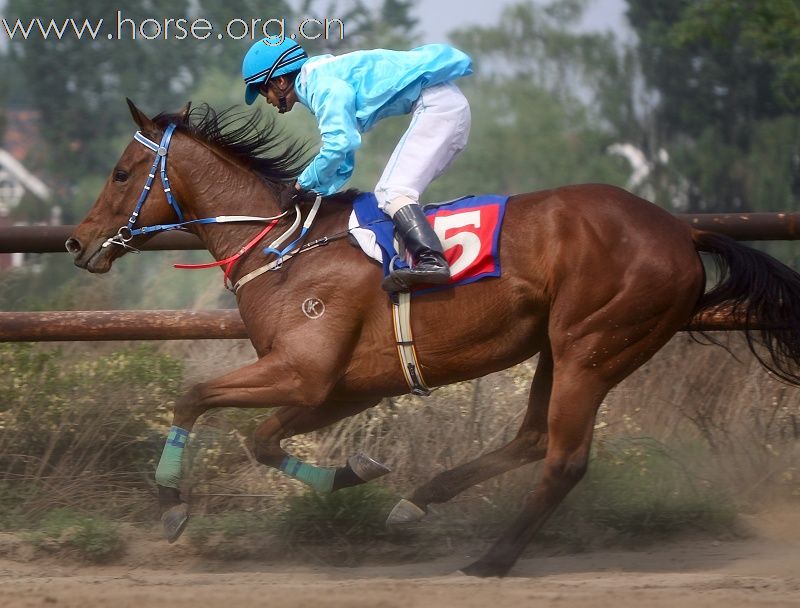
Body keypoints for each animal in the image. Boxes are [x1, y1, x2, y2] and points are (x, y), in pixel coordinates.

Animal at [64, 102, 800, 576]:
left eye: (121, 173)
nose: (77, 241)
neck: (285, 246)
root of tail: (682, 230)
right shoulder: (340, 386)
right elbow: (263, 440)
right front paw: (356, 471)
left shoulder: (301, 370)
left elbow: (194, 396)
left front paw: (169, 507)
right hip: (557, 349)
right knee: (532, 439)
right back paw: (421, 502)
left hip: (592, 346)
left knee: (564, 460)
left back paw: (491, 560)